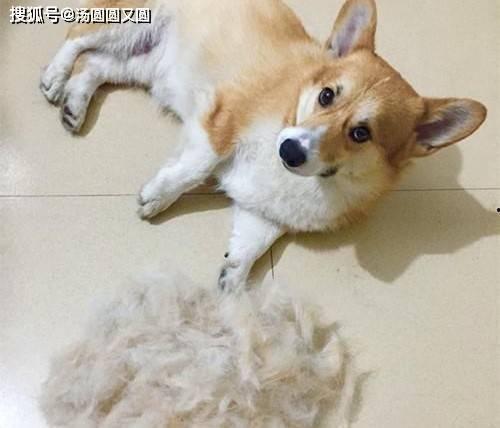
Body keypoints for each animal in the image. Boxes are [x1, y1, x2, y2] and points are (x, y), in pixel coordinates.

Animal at [40, 0, 487, 290]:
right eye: (327, 95)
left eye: (361, 133)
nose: (290, 150)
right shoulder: (222, 119)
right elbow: (196, 166)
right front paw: (158, 196)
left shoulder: (266, 213)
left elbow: (254, 244)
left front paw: (234, 280)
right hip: (131, 23)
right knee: (77, 38)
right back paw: (54, 77)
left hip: (143, 62)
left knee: (97, 65)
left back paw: (75, 104)